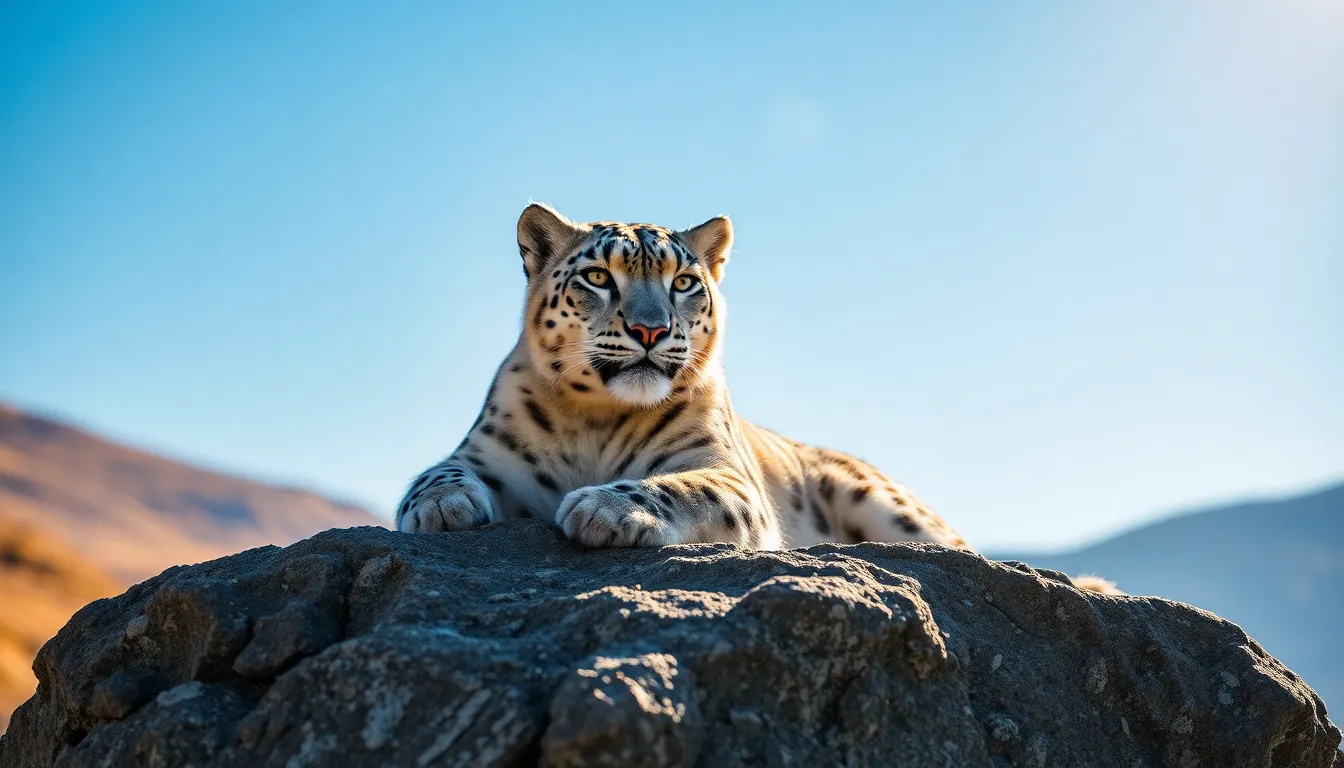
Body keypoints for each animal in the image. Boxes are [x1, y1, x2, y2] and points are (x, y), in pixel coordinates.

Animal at [395, 203, 1119, 594]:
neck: (597, 419)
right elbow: (437, 471)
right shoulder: (488, 454)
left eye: (684, 281)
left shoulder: (727, 474)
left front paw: (605, 507)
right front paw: (442, 508)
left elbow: (680, 488)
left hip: (889, 506)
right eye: (599, 277)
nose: (651, 329)